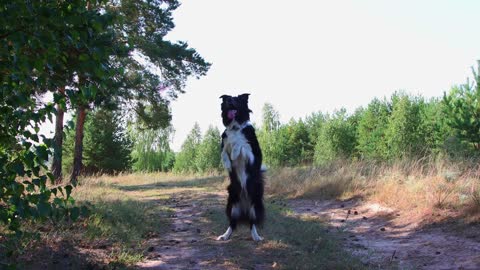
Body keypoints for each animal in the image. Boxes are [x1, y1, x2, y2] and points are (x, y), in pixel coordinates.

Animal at [218, 94, 266, 242]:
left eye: (236, 100)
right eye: (227, 98)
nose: (229, 101)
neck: (235, 127)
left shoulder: (253, 156)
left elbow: (240, 144)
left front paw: (234, 152)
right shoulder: (224, 143)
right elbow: (224, 152)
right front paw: (228, 163)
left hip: (255, 204)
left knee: (252, 222)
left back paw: (256, 237)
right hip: (232, 204)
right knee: (232, 223)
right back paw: (225, 235)